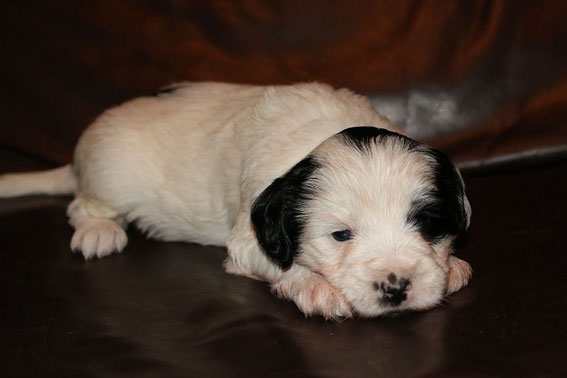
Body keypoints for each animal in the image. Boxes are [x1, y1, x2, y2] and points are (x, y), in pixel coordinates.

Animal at [0, 82, 470, 318]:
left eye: (428, 224)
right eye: (341, 235)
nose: (397, 287)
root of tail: (77, 163)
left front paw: (454, 267)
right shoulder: (249, 240)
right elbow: (284, 264)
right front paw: (315, 287)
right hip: (110, 175)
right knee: (81, 206)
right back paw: (99, 232)